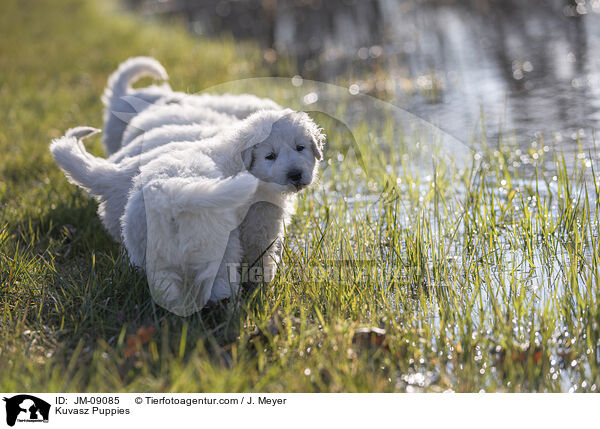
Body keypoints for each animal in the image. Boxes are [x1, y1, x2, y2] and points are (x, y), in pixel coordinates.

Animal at [50, 61, 324, 316]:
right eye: (270, 156)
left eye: (300, 147)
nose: (295, 175)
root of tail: (170, 196)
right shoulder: (259, 224)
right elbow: (262, 257)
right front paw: (264, 285)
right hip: (218, 245)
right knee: (219, 285)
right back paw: (229, 310)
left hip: (150, 250)